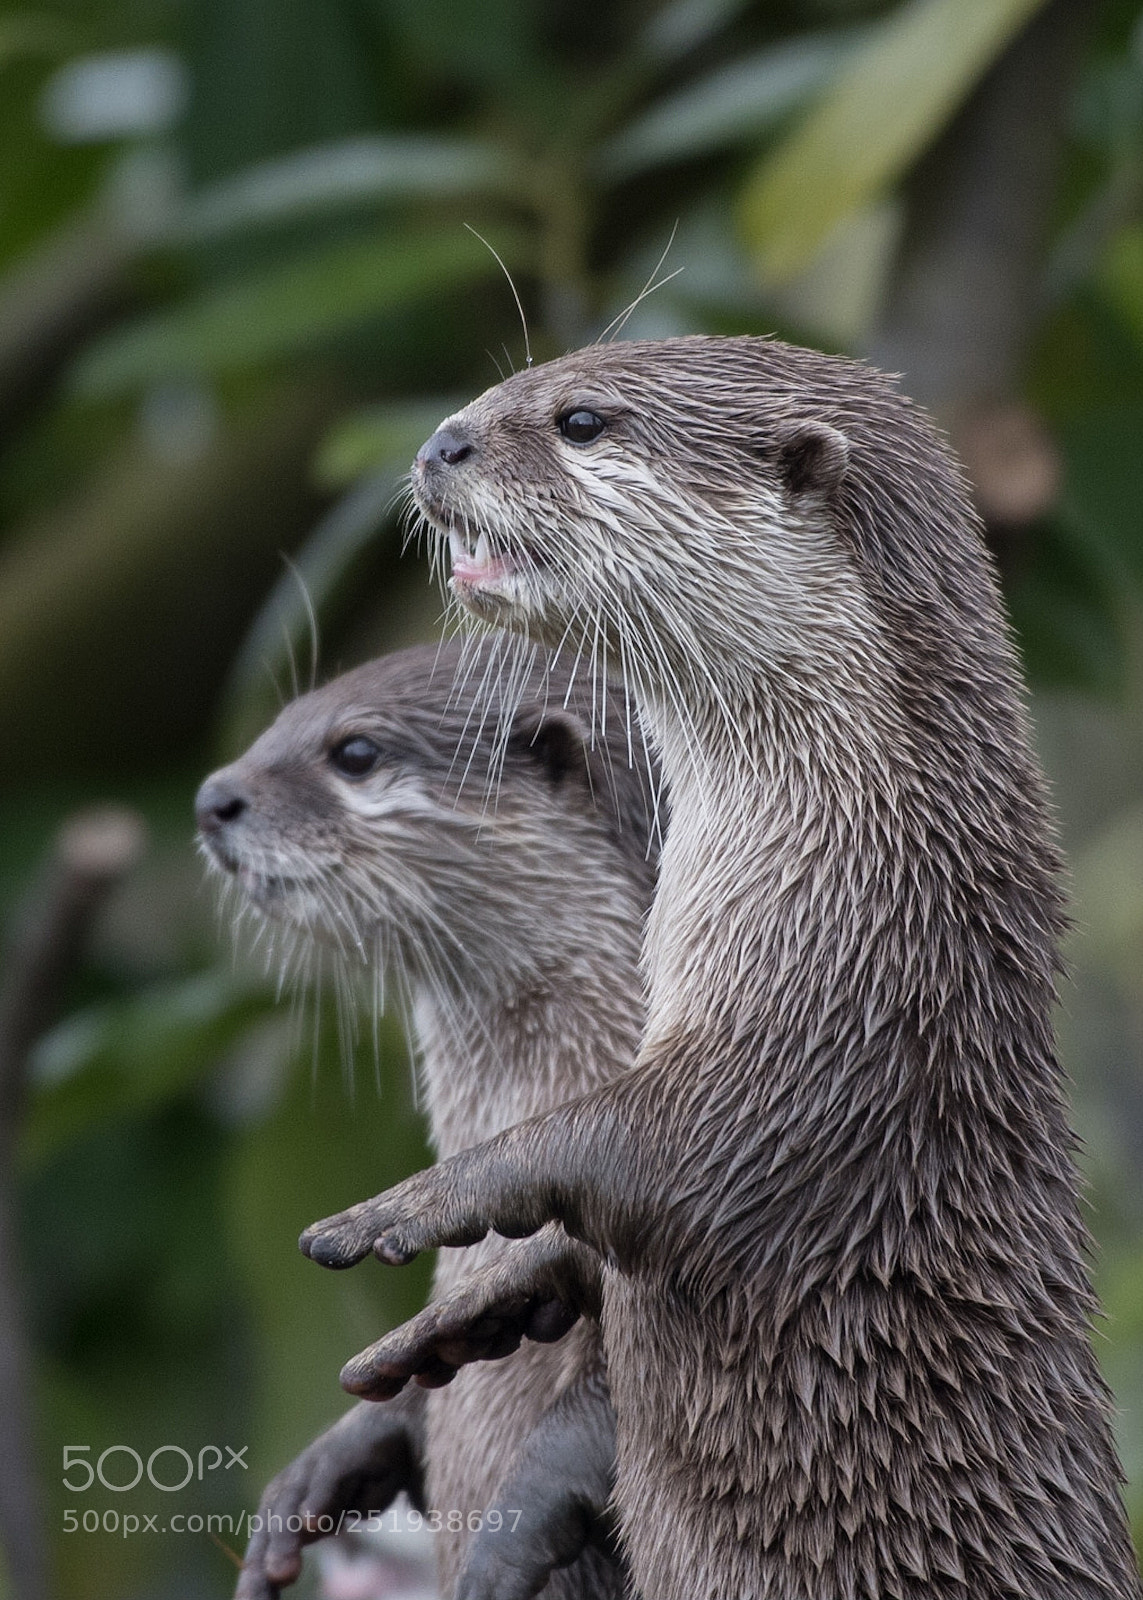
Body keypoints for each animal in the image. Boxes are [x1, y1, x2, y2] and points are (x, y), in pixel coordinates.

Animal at [302, 337, 1143, 1600]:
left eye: (581, 419)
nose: (444, 439)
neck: (878, 877)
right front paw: (484, 1310)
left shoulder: (822, 1056)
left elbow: (645, 1151)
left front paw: (422, 1207)